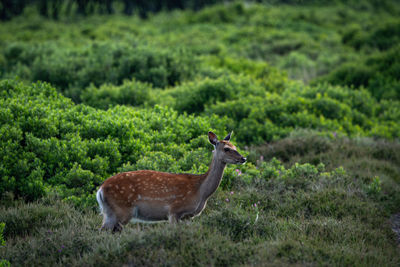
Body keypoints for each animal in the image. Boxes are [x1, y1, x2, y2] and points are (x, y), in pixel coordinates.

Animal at [97, 132, 247, 232]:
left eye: (235, 146)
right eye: (226, 148)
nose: (243, 158)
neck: (200, 191)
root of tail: (100, 190)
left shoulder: (188, 217)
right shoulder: (174, 210)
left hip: (109, 212)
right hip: (122, 209)